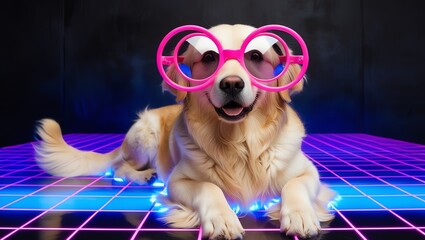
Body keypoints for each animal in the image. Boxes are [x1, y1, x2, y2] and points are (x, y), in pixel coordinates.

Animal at [34, 23, 334, 238]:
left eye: (256, 56)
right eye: (210, 56)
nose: (232, 84)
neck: (239, 141)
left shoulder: (309, 173)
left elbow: (294, 184)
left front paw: (299, 215)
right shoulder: (178, 182)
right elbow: (208, 187)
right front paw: (223, 219)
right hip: (145, 133)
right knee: (119, 167)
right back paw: (143, 175)